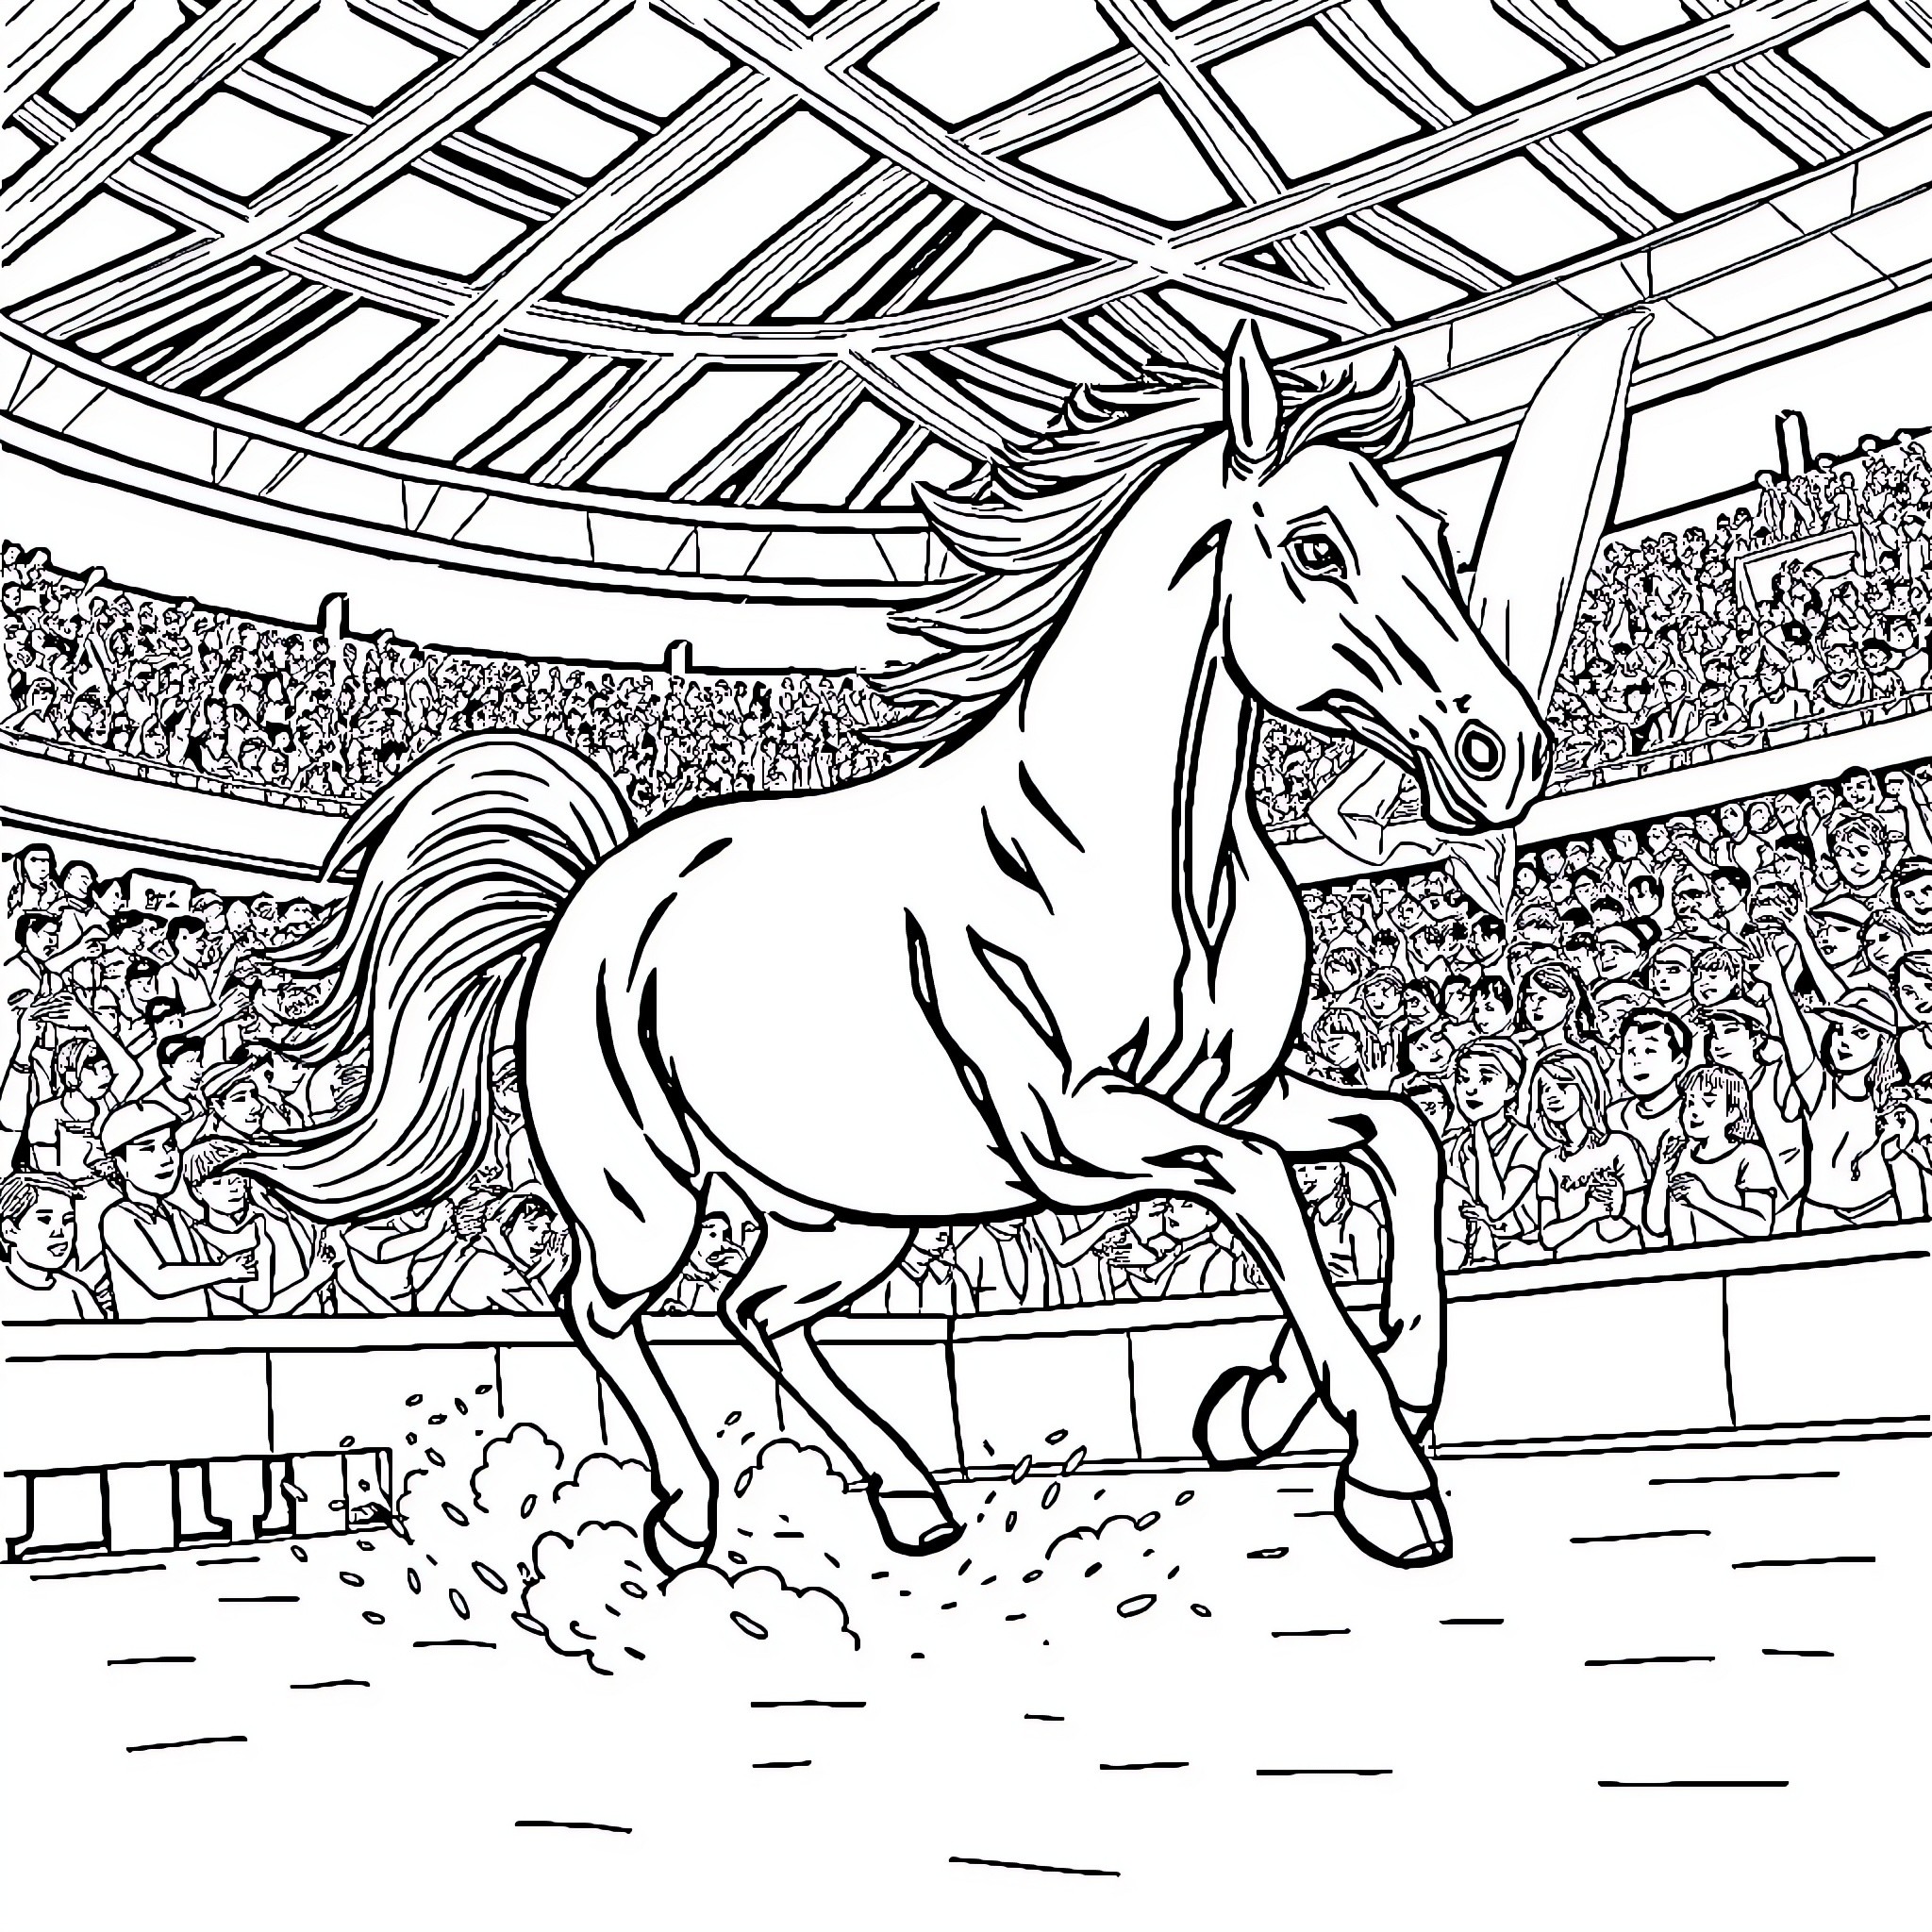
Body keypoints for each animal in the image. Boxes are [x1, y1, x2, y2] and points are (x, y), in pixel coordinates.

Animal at [250, 320, 1627, 1573]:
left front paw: (1292, 1401)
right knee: (598, 1308)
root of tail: (589, 893)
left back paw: (912, 1501)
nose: (1508, 753)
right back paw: (689, 1520)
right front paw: (1381, 1474)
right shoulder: (1075, 1132)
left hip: (848, 1214)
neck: (1126, 856)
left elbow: (1399, 1143)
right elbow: (1267, 1193)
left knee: (756, 1310)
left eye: (1440, 539)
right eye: (1315, 547)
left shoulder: (1239, 1091)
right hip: (642, 1194)